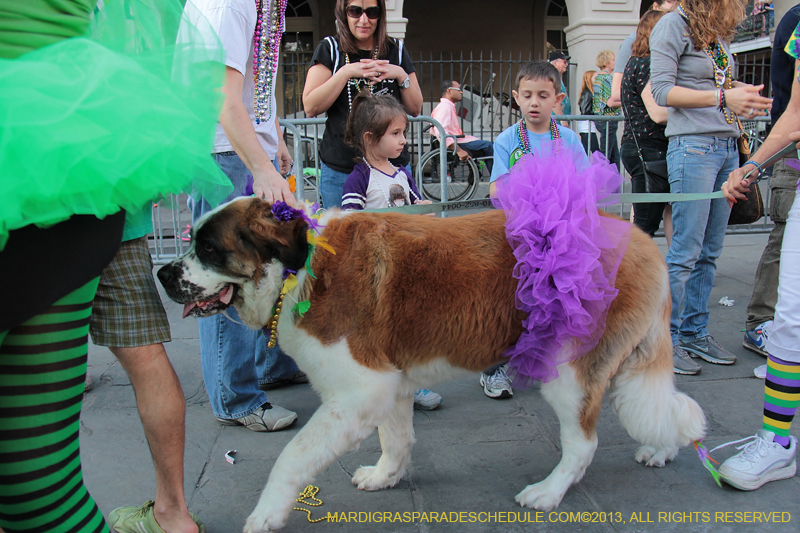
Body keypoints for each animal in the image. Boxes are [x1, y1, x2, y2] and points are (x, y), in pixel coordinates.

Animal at [158, 198, 708, 532]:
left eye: (209, 249)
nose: (163, 274)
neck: (301, 268)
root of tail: (642, 240)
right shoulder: (389, 384)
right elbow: (396, 438)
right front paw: (386, 476)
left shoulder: (359, 390)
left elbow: (292, 456)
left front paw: (266, 515)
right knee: (665, 406)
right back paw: (661, 450)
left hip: (567, 370)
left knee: (584, 443)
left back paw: (549, 493)